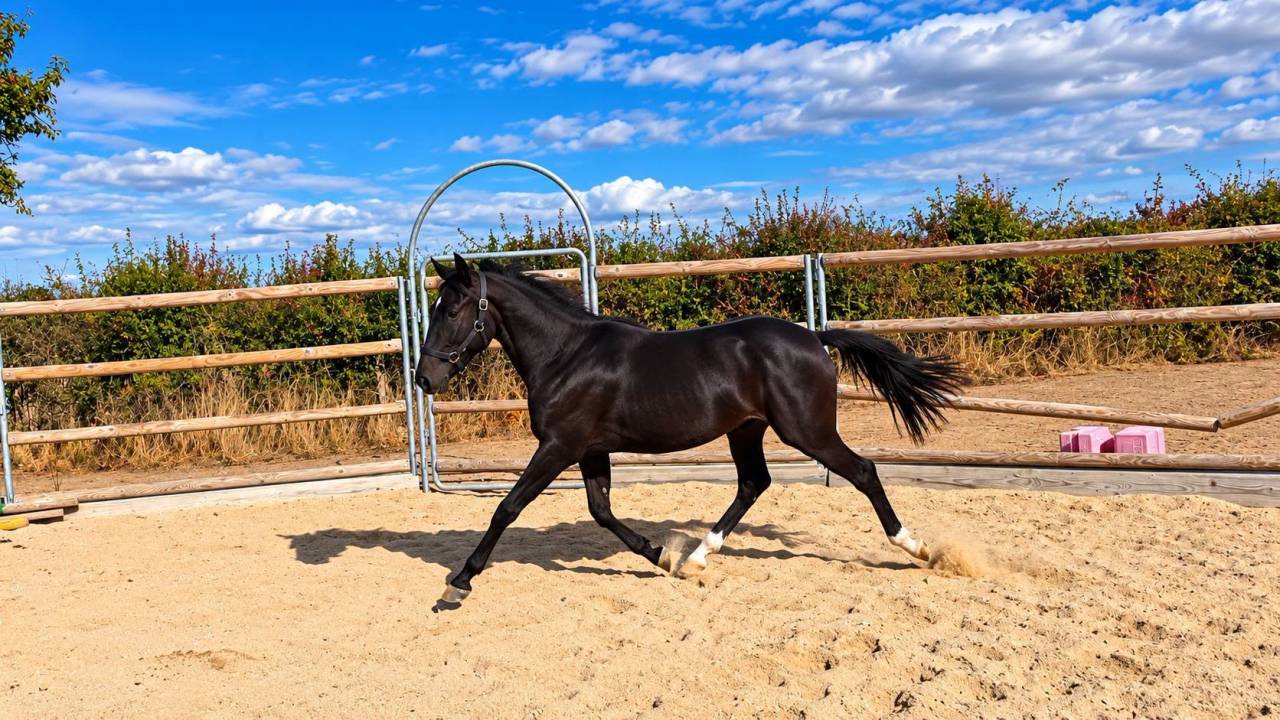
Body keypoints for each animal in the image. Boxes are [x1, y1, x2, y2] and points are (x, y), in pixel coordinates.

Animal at [415, 254, 965, 605]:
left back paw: (916, 548)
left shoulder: (559, 446)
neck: (566, 356)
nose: (425, 378)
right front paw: (663, 557)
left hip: (806, 431)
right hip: (746, 430)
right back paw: (697, 557)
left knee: (863, 471)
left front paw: (457, 584)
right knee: (753, 483)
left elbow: (507, 509)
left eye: (453, 309)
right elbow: (601, 511)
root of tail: (814, 337)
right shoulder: (589, 450)